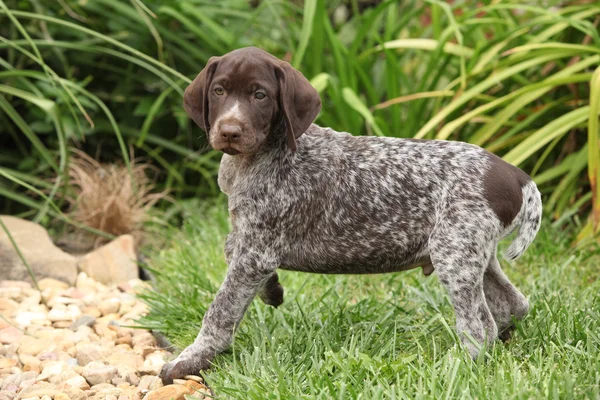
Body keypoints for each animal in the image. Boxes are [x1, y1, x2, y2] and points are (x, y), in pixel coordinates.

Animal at [159, 46, 544, 382]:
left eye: (260, 95)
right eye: (219, 90)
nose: (229, 131)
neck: (260, 157)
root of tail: (513, 173)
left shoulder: (257, 251)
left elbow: (221, 309)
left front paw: (192, 358)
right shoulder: (250, 243)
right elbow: (230, 249)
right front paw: (272, 291)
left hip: (454, 256)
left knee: (479, 327)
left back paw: (460, 368)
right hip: (475, 253)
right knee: (514, 304)